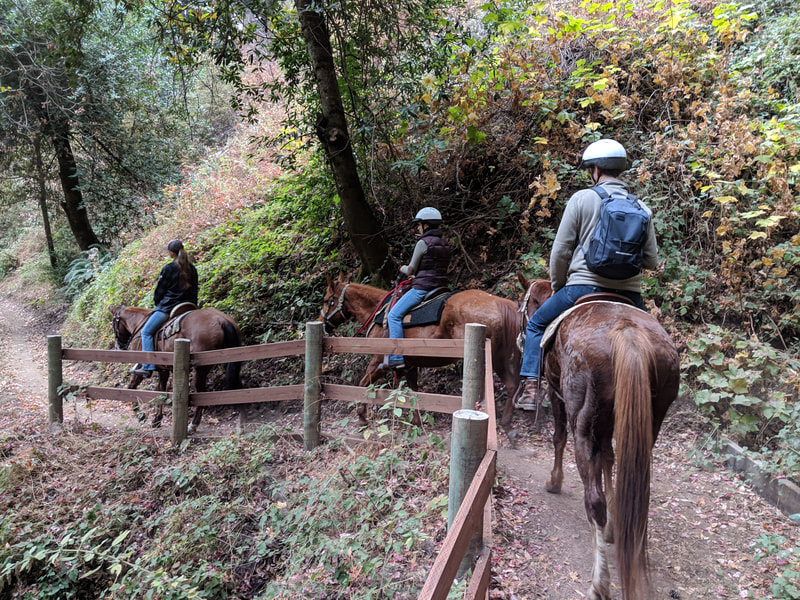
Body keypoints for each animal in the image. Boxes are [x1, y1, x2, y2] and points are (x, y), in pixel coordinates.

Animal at [109, 308, 242, 434]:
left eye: (113, 323)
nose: (120, 346)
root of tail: (222, 320)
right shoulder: (163, 370)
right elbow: (161, 392)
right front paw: (156, 419)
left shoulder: (142, 368)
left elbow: (131, 387)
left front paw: (140, 415)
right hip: (227, 362)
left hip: (199, 370)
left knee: (201, 392)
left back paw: (193, 424)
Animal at [322, 274, 520, 424]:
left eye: (326, 300)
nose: (321, 321)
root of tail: (498, 302)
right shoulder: (409, 366)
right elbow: (414, 393)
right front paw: (416, 421)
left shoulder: (377, 361)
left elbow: (363, 385)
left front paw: (362, 417)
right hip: (500, 357)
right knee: (512, 385)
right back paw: (505, 423)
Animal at [520, 276, 680, 600]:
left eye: (524, 302)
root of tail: (627, 331)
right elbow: (608, 456)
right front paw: (613, 529)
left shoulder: (556, 395)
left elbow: (558, 438)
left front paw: (554, 481)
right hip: (650, 417)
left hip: (582, 417)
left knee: (593, 500)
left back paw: (599, 583)